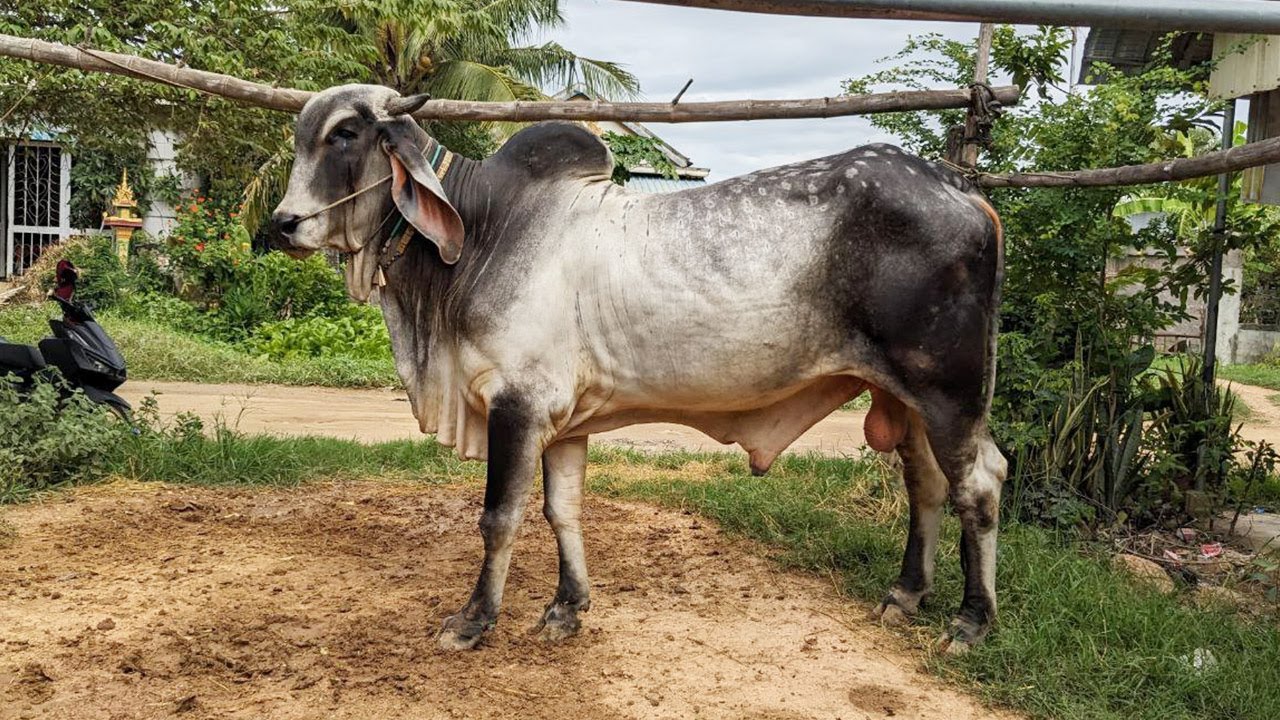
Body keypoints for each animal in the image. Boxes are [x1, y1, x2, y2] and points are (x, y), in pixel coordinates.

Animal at [271, 84, 1007, 655]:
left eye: (346, 134)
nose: (282, 224)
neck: (482, 232)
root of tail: (959, 188)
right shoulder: (561, 420)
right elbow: (562, 509)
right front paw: (566, 608)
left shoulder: (517, 403)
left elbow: (499, 517)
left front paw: (473, 621)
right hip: (906, 399)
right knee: (927, 484)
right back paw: (904, 596)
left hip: (949, 391)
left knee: (980, 483)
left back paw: (971, 622)